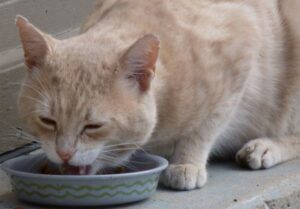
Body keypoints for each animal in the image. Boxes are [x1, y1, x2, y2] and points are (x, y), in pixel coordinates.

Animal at [15, 0, 300, 189]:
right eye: (47, 121)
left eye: (93, 126)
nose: (63, 154)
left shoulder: (242, 51)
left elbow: (205, 128)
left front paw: (186, 163)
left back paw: (265, 147)